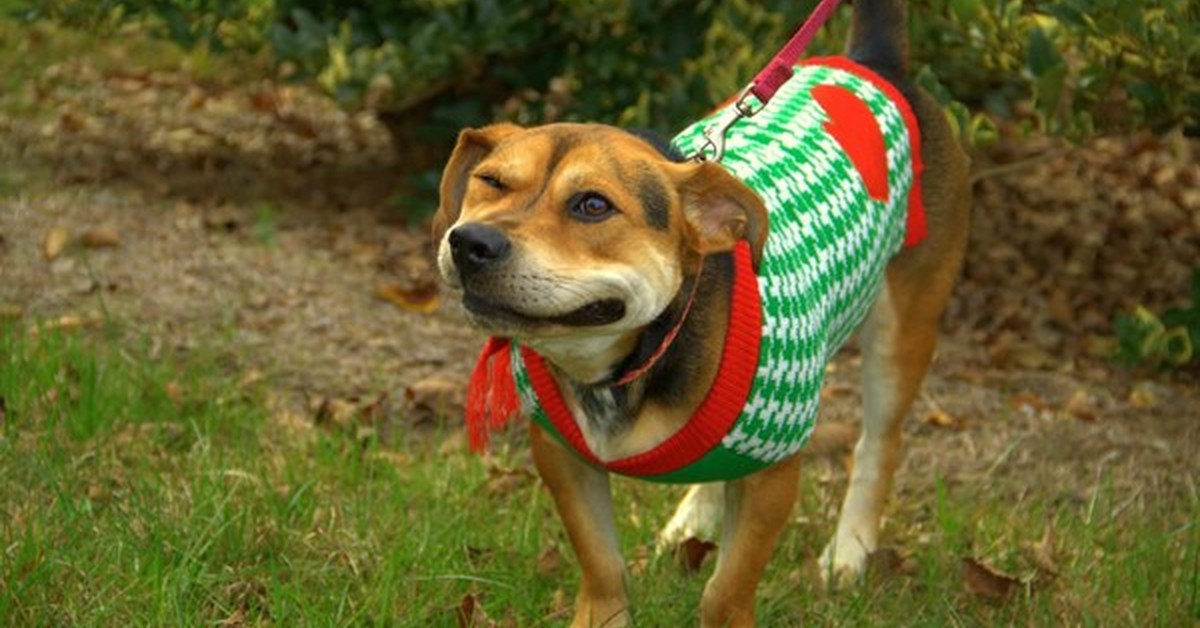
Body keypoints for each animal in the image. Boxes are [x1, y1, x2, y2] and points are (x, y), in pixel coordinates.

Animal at [436, 1, 969, 624]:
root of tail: (875, 62)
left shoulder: (772, 477)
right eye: (490, 181)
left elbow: (727, 587)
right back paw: (697, 515)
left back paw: (849, 550)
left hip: (903, 326)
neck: (627, 364)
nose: (470, 243)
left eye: (593, 205)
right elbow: (602, 563)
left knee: (878, 443)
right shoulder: (562, 454)